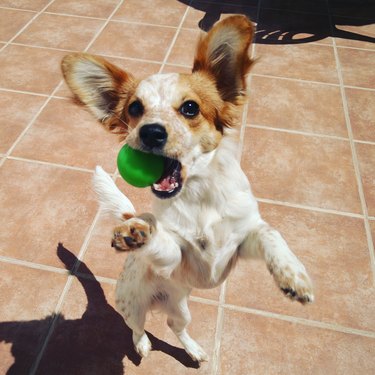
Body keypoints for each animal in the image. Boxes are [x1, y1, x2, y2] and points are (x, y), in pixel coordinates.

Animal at [61, 15, 314, 364]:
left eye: (191, 108)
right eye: (135, 109)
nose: (150, 132)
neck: (198, 197)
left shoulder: (239, 243)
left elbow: (270, 233)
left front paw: (293, 275)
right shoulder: (177, 260)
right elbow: (164, 241)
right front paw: (139, 232)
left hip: (182, 310)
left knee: (174, 325)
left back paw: (194, 350)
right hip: (131, 304)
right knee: (137, 327)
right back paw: (143, 344)